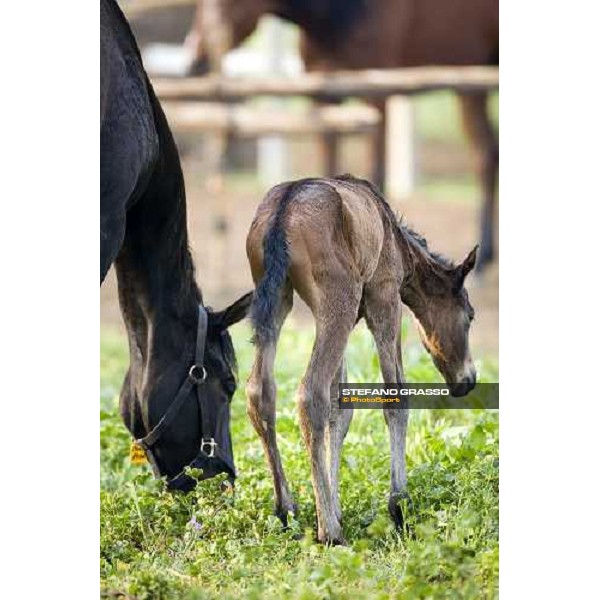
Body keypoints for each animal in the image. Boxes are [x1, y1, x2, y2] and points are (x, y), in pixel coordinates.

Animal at [185, 0, 500, 270]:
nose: (195, 60)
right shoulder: (324, 96)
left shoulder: (377, 95)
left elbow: (377, 174)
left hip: (469, 83)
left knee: (484, 155)